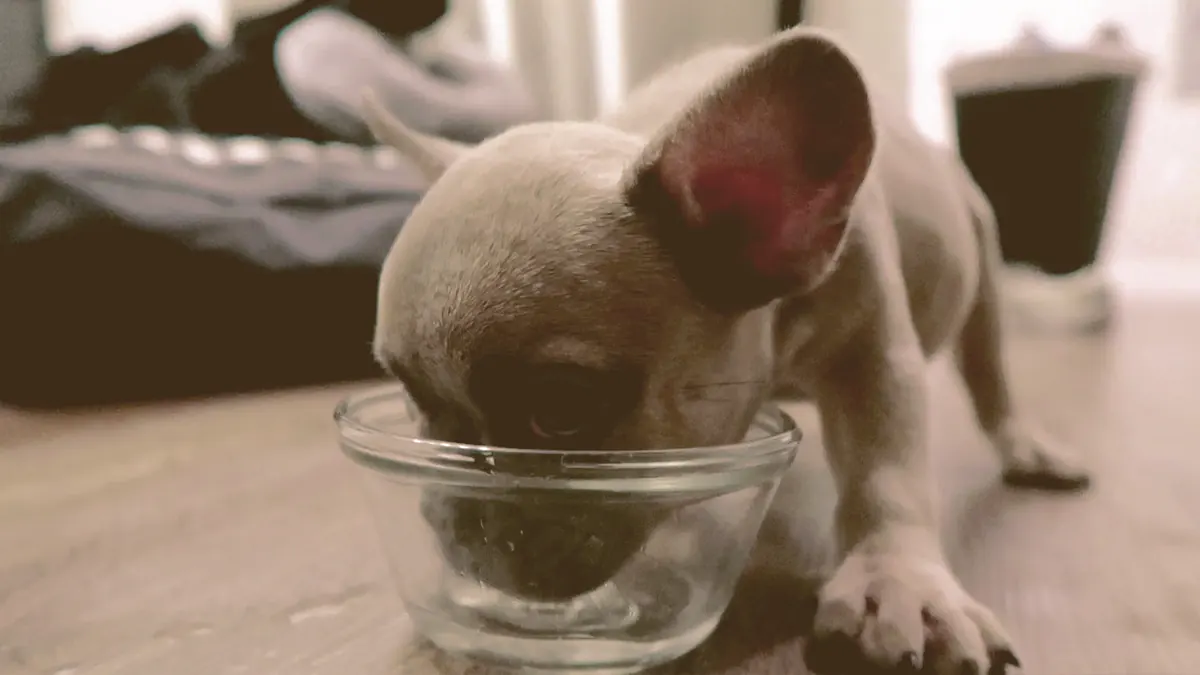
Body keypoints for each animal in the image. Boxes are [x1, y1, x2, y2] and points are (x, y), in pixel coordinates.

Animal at [362, 26, 1089, 672]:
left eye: (561, 410)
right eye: (408, 391)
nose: (454, 521)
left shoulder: (873, 353)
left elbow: (887, 470)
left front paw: (900, 580)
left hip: (983, 260)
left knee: (990, 371)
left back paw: (1025, 443)